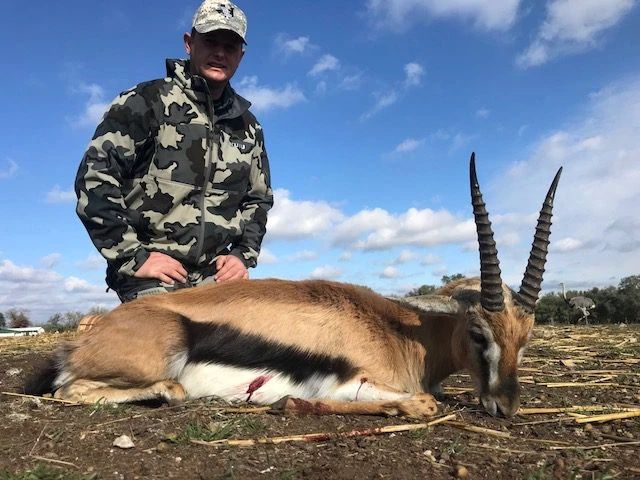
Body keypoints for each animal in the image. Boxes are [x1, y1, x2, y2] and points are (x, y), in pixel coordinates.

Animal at [26, 154, 562, 418]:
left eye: (526, 338)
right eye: (477, 333)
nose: (504, 407)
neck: (402, 334)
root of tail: (80, 341)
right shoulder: (355, 382)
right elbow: (421, 403)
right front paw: (288, 403)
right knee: (77, 392)